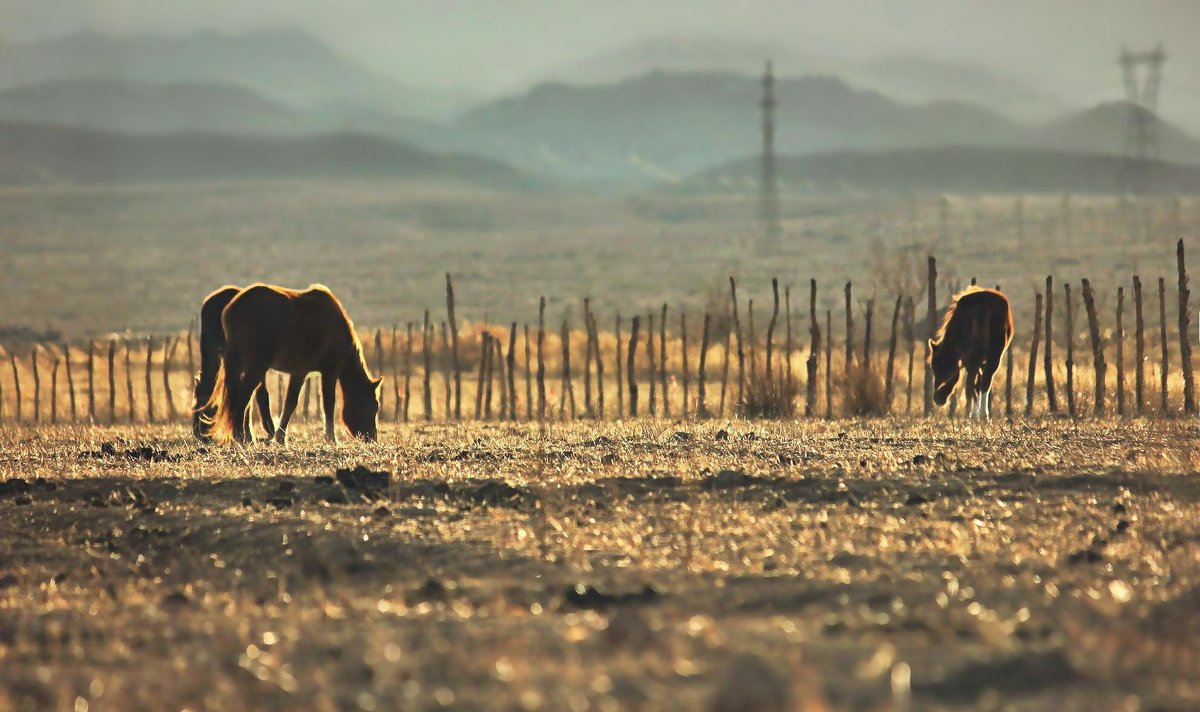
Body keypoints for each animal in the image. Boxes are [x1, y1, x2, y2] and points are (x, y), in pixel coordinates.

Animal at [201, 284, 379, 444]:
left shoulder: (299, 372)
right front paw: (331, 438)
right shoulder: (330, 371)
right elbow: (328, 403)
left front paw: (280, 438)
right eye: (373, 406)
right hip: (257, 366)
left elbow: (290, 403)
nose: (372, 438)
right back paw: (240, 437)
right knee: (243, 398)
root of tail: (233, 308)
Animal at [926, 286, 1012, 422]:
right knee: (985, 383)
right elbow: (980, 384)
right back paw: (984, 416)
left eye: (935, 368)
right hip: (994, 358)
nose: (938, 399)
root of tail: (983, 305)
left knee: (971, 385)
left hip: (973, 361)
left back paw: (974, 416)